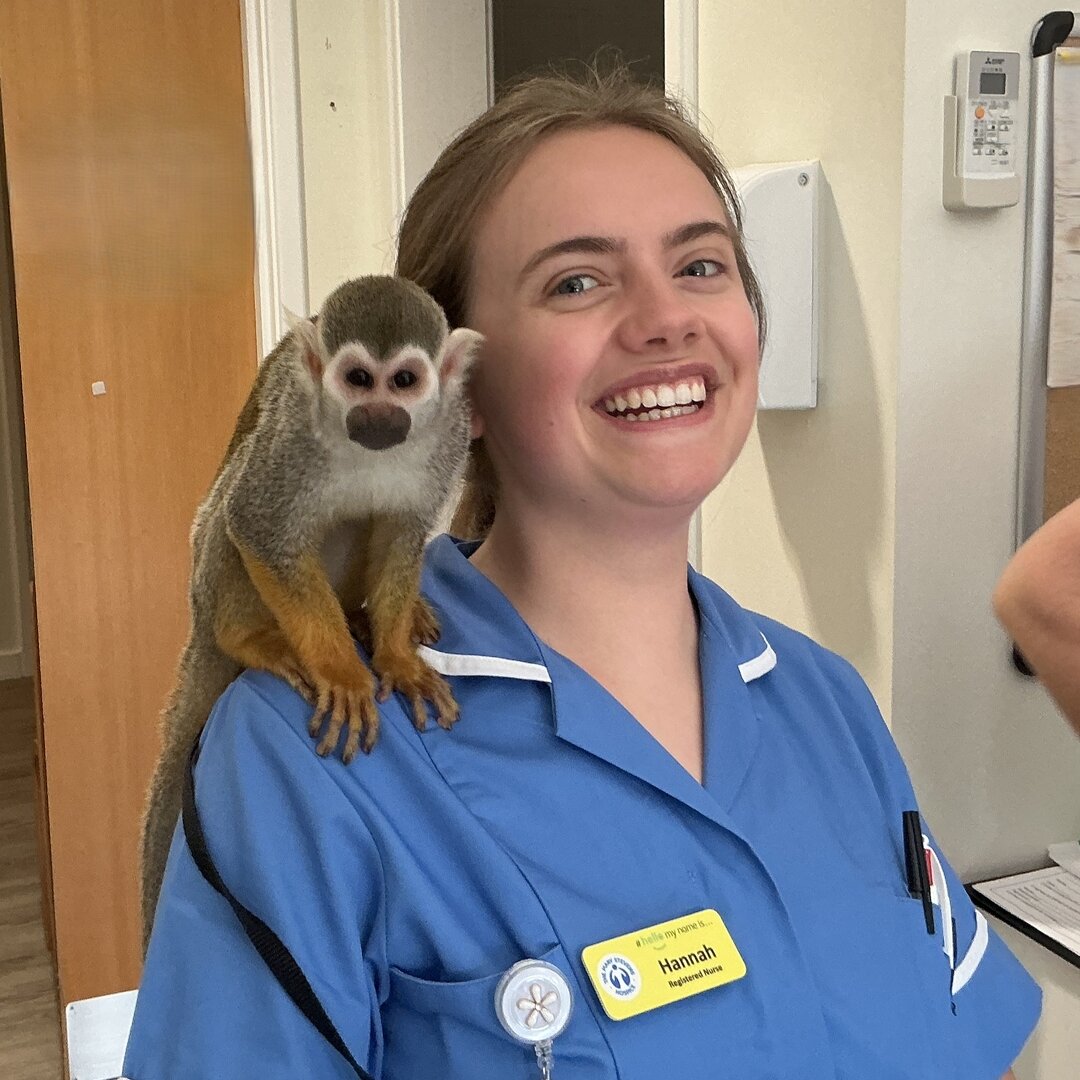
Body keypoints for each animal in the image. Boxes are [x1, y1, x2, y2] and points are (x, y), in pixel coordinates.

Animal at [139, 275, 482, 951]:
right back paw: (249, 639)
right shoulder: (292, 439)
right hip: (206, 586)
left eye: (404, 381)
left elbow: (403, 530)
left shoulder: (449, 433)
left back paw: (371, 618)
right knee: (231, 510)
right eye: (358, 379)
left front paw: (395, 657)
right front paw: (345, 675)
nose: (378, 415)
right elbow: (258, 524)